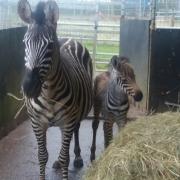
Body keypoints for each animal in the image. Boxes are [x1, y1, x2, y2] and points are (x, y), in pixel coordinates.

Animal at [17, 0, 93, 179]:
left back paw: (77, 157)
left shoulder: (68, 121)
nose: (29, 88)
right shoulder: (37, 122)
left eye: (51, 45)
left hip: (75, 115)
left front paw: (65, 162)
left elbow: (65, 156)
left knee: (76, 131)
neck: (48, 92)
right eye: (24, 43)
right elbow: (42, 156)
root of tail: (70, 39)